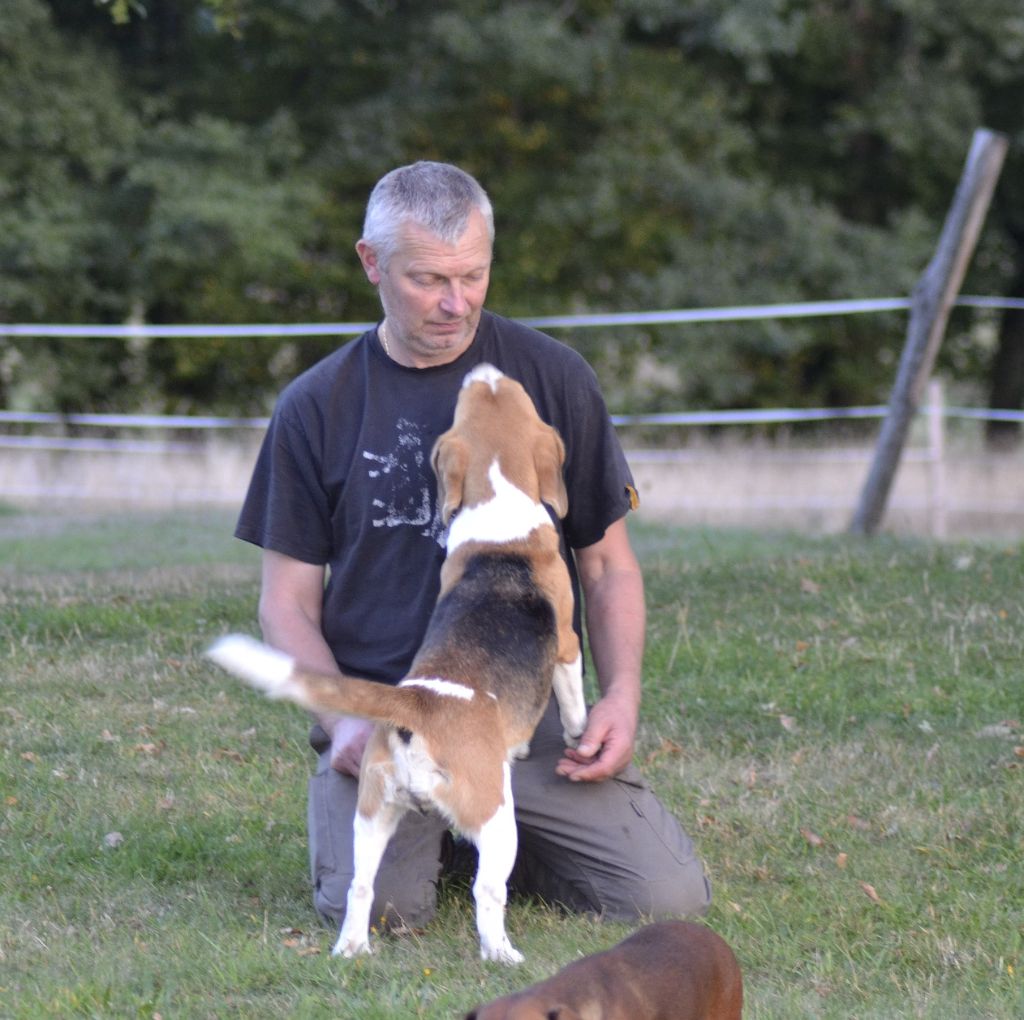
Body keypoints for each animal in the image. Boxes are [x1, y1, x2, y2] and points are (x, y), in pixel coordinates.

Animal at [205, 364, 585, 962]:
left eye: (498, 392)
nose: (483, 369)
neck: (499, 500)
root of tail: (418, 700)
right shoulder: (566, 642)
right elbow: (573, 697)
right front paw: (578, 734)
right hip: (495, 818)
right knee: (487, 891)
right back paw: (502, 954)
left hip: (372, 813)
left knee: (360, 886)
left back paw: (352, 949)